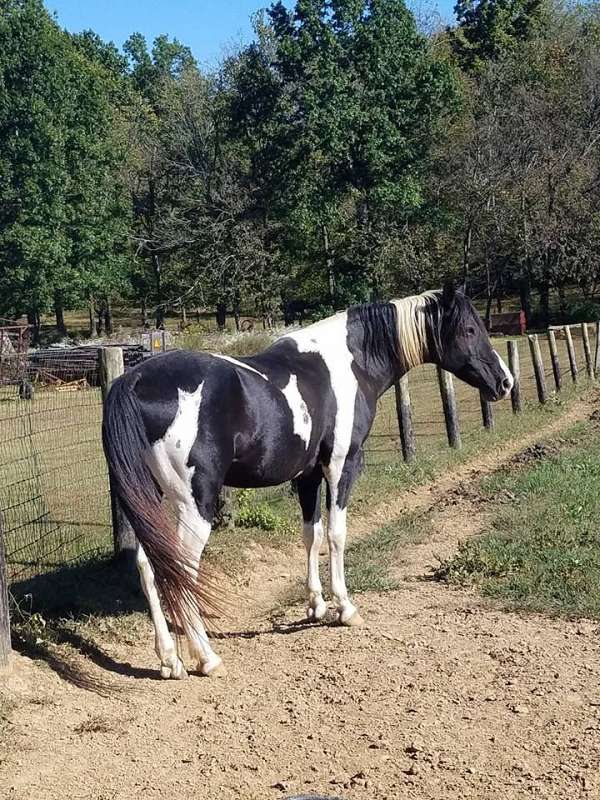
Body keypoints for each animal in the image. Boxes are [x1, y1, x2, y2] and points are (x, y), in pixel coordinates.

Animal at [102, 284, 510, 680]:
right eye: (469, 330)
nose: (504, 382)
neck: (349, 363)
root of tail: (133, 380)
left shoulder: (308, 475)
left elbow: (311, 535)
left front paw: (316, 605)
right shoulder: (342, 466)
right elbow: (336, 534)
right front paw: (345, 607)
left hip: (153, 501)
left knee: (150, 567)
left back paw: (170, 661)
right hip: (194, 504)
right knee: (182, 567)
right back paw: (207, 658)